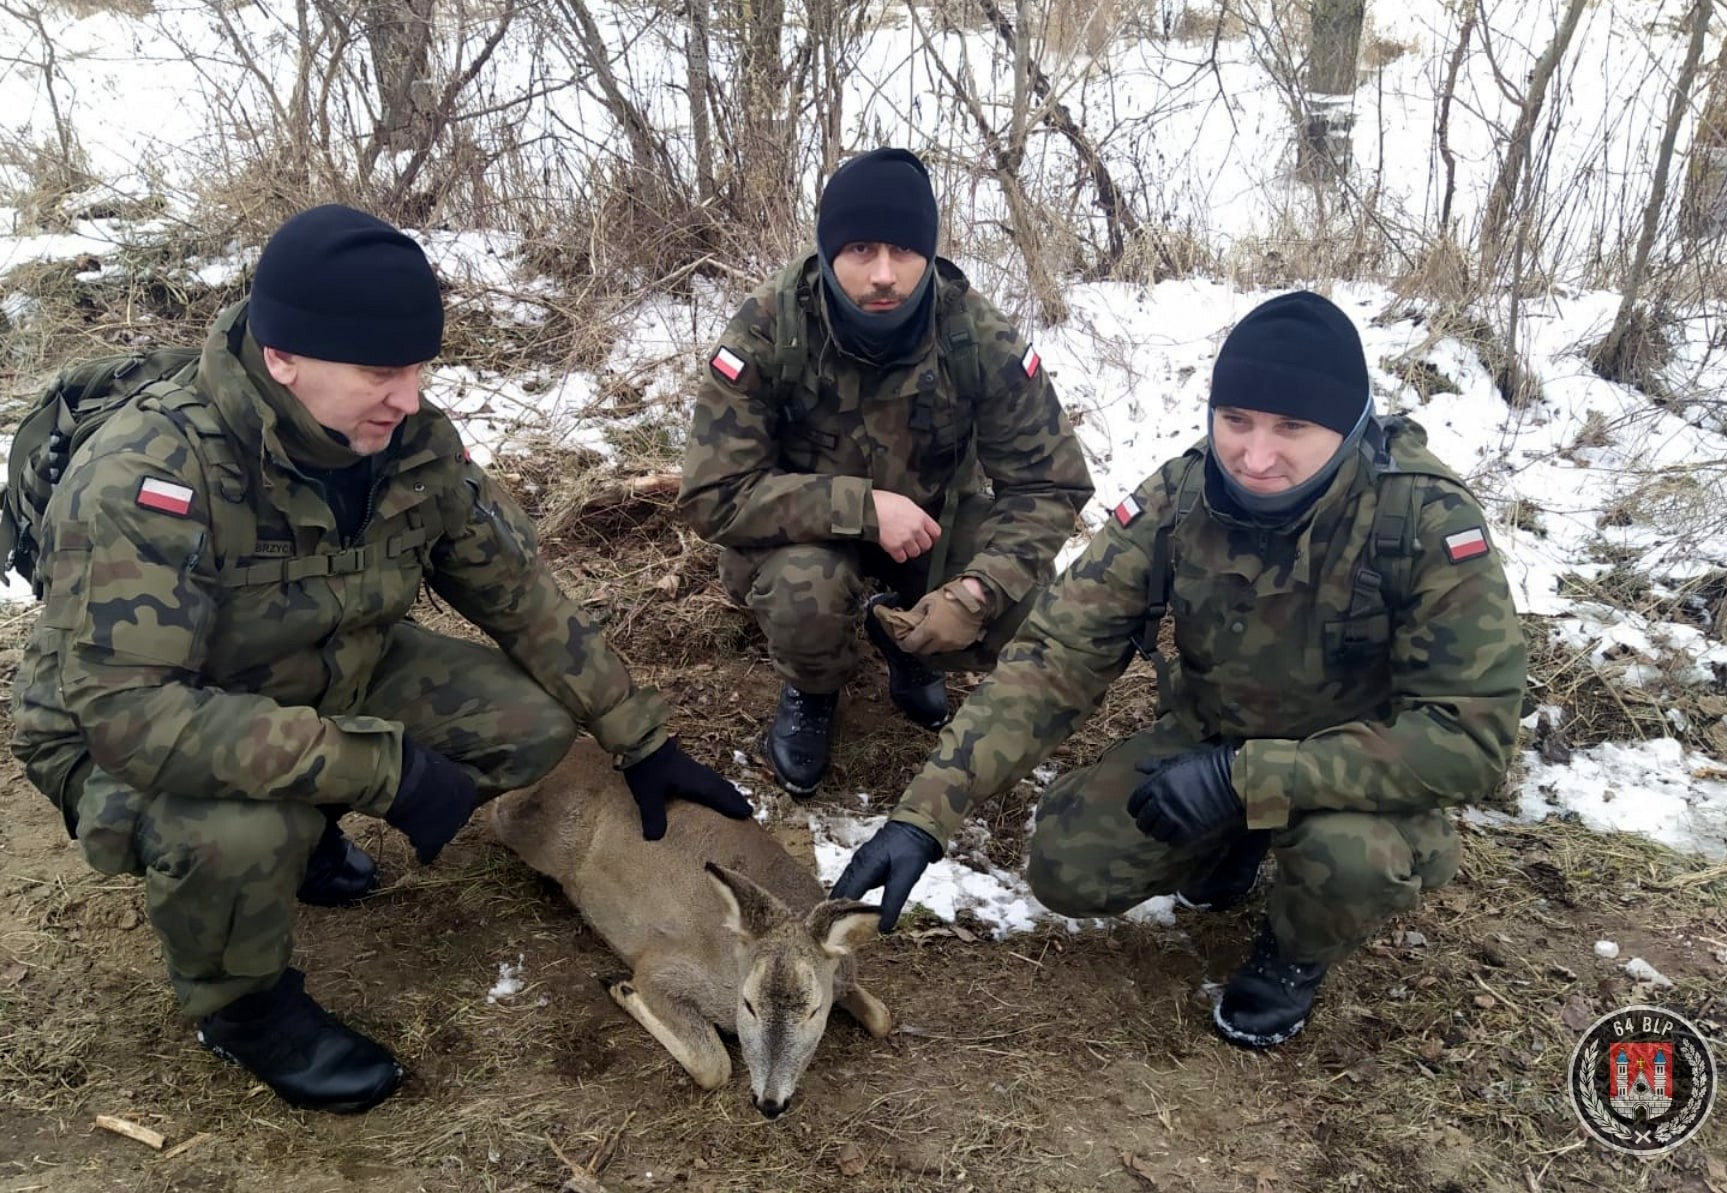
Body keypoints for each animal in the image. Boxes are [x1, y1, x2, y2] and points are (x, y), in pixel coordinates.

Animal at [487, 738, 891, 1118]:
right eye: (749, 1004)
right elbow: (714, 1067)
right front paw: (621, 987)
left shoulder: (844, 972)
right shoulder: (660, 967)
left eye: (814, 1010)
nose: (770, 1103)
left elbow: (883, 1018)